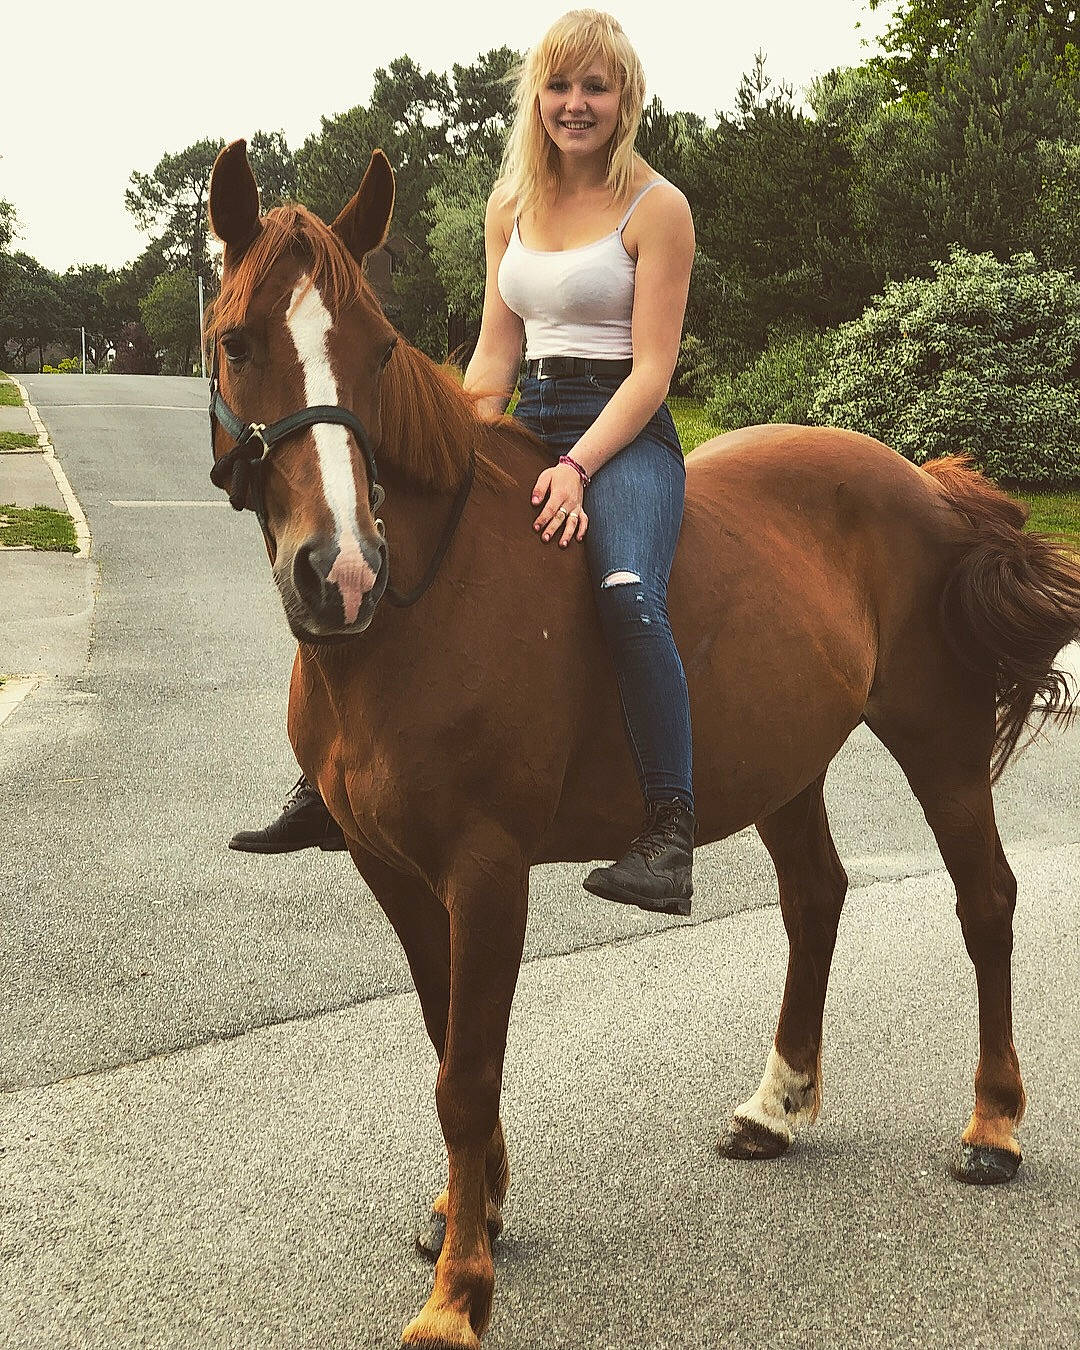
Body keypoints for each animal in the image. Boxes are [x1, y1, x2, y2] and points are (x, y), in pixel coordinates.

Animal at [205, 140, 1080, 1349]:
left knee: (985, 899)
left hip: (936, 734)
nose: (340, 572)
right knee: (816, 898)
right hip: (783, 761)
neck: (419, 610)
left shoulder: (487, 871)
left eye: (378, 351)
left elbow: (467, 1073)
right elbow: (444, 1042)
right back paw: (775, 1107)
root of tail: (927, 479)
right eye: (237, 342)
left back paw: (992, 1128)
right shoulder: (395, 871)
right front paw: (468, 1209)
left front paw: (459, 1293)